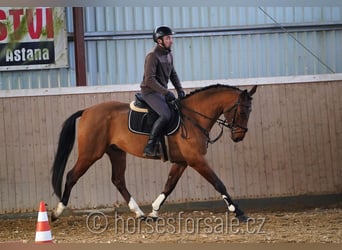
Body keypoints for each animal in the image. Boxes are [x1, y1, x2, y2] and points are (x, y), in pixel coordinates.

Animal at [51, 84, 256, 223]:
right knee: (71, 176)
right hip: (90, 154)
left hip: (117, 153)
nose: (239, 136)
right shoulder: (196, 159)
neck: (193, 117)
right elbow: (218, 183)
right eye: (242, 111)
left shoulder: (182, 162)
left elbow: (169, 185)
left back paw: (140, 213)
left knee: (118, 180)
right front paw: (238, 212)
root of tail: (87, 111)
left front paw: (154, 211)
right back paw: (56, 212)